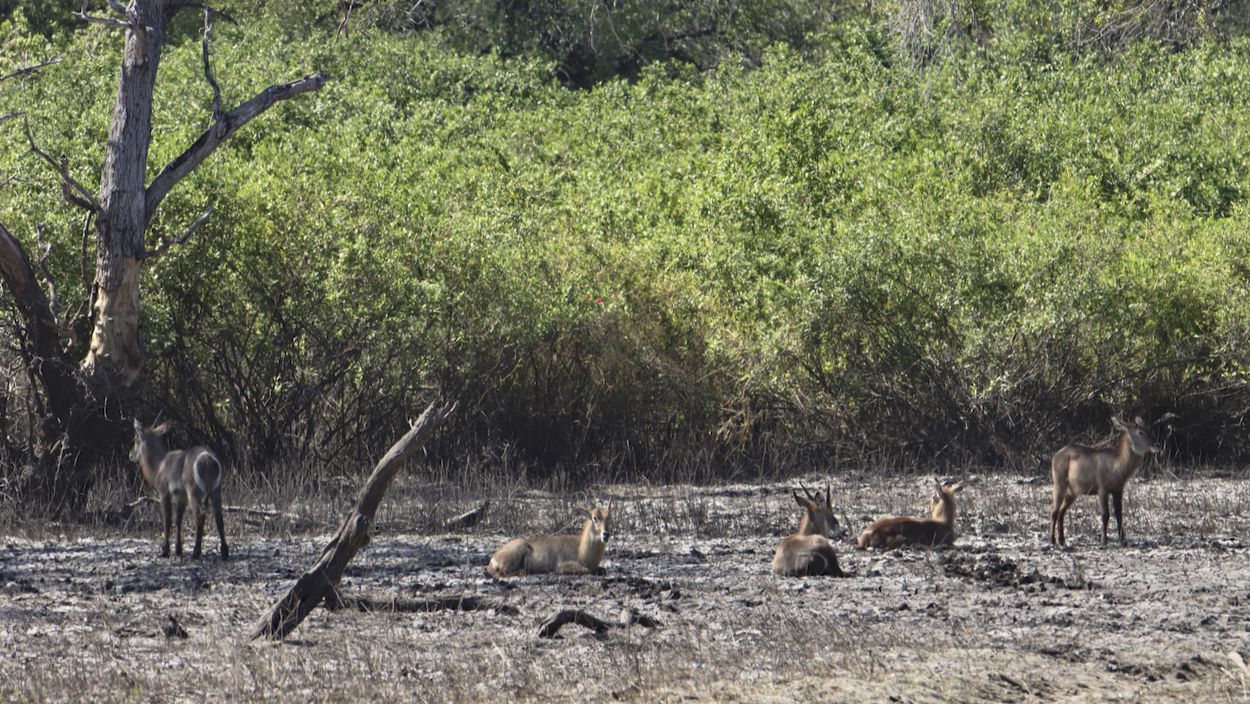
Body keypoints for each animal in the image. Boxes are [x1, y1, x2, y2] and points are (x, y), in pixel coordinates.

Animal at [131, 417, 230, 562]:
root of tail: (208, 459)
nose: (131, 454)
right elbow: (178, 520)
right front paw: (178, 550)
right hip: (215, 491)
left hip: (194, 491)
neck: (159, 465)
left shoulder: (164, 492)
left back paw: (196, 552)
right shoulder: (181, 497)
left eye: (136, 439)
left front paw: (165, 551)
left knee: (200, 514)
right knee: (219, 517)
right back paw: (224, 552)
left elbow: (167, 519)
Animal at [482, 500, 610, 577]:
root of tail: (492, 560)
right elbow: (587, 570)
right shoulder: (562, 565)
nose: (606, 534)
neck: (580, 548)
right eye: (595, 517)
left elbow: (603, 570)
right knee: (499, 574)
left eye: (609, 517)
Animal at [1045, 415, 1160, 547]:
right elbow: (1105, 514)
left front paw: (1123, 540)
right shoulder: (1102, 489)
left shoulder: (1118, 489)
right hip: (1059, 482)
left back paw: (1062, 540)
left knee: (1062, 511)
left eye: (1149, 430)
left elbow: (1119, 514)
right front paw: (1104, 540)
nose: (1157, 444)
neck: (1117, 467)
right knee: (1054, 510)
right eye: (1140, 432)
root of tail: (1055, 456)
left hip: (1074, 490)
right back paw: (1052, 540)